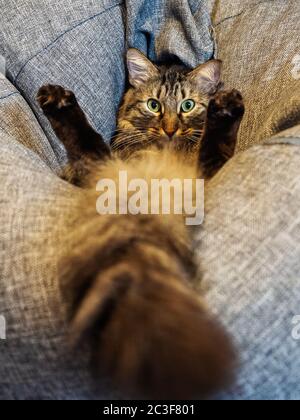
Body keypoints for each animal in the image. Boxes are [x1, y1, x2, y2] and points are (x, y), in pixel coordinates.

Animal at [37, 47, 245, 398]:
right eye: (154, 105)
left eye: (188, 106)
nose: (171, 129)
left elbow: (216, 144)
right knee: (87, 146)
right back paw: (58, 100)